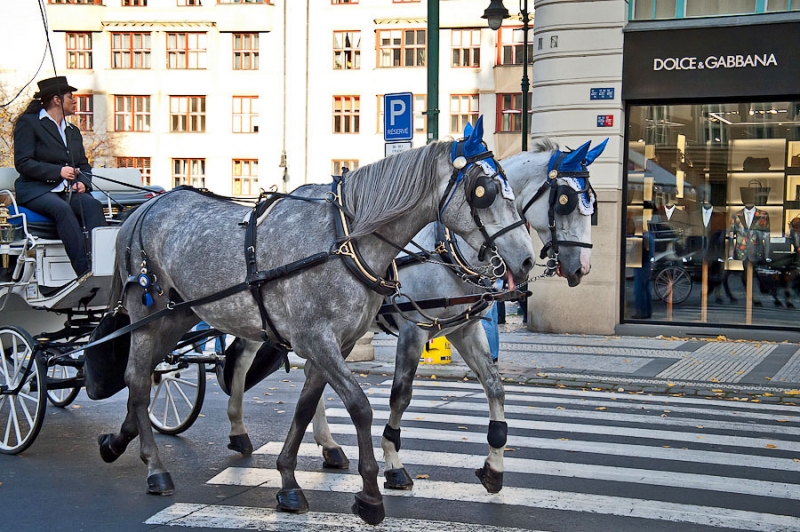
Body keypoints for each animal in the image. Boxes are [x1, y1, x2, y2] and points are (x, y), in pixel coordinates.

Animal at [95, 118, 532, 524]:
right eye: (484, 191)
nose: (527, 260)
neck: (344, 240)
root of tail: (145, 208)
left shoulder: (345, 341)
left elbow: (306, 405)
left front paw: (289, 481)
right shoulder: (327, 338)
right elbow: (363, 405)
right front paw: (371, 493)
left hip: (181, 314)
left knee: (153, 373)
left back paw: (123, 439)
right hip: (148, 313)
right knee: (139, 378)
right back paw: (155, 467)